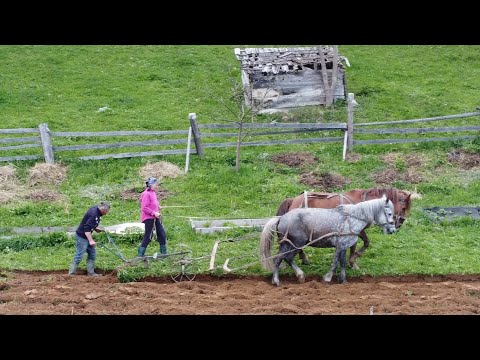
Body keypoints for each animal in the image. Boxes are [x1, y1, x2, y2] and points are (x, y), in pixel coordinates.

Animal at [260, 195, 396, 286]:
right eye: (389, 213)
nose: (393, 230)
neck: (352, 218)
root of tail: (281, 218)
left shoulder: (343, 246)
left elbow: (342, 262)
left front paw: (343, 280)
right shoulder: (340, 246)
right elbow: (335, 262)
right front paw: (328, 278)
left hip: (286, 244)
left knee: (278, 259)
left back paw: (277, 280)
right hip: (296, 244)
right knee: (287, 258)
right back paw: (296, 276)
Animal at [278, 188, 412, 268]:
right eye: (403, 207)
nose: (400, 223)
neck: (363, 205)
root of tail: (293, 200)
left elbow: (363, 243)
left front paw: (352, 260)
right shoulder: (357, 230)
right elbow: (360, 244)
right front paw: (353, 262)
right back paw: (303, 259)